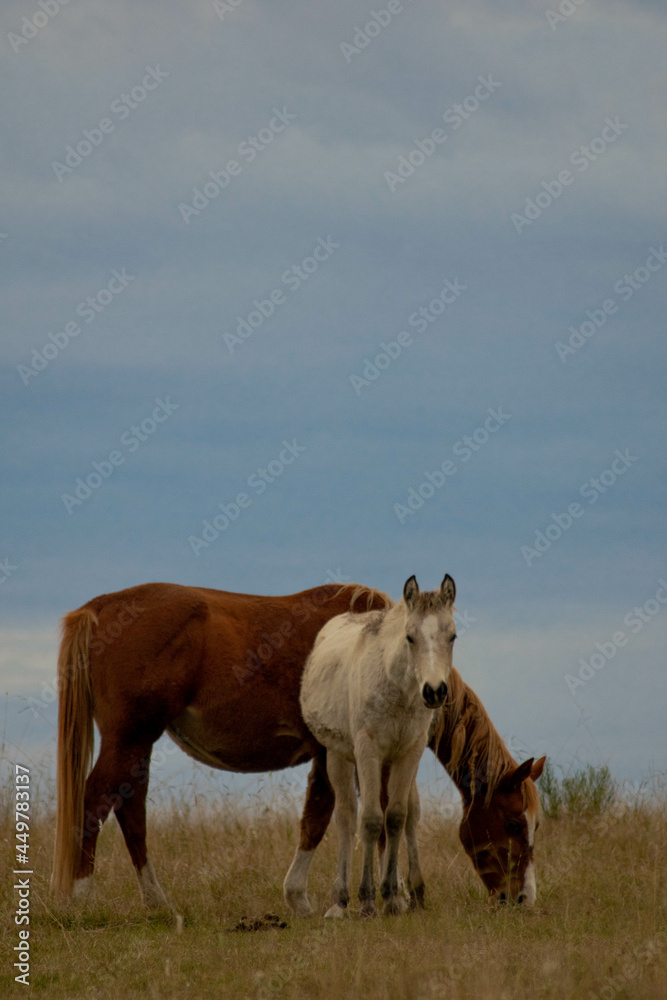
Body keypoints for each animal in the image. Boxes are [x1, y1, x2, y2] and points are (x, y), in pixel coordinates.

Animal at [293, 574, 457, 918]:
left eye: (452, 636)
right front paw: (367, 899)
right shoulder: (367, 751)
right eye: (409, 637)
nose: (434, 691)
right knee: (346, 817)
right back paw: (340, 899)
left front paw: (392, 897)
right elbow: (369, 820)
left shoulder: (409, 753)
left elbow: (395, 817)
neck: (397, 688)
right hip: (339, 756)